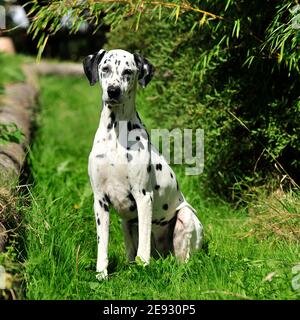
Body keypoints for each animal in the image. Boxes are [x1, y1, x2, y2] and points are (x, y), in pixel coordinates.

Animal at [82, 48, 204, 280]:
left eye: (128, 71)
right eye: (105, 68)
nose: (113, 91)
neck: (115, 133)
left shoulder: (143, 197)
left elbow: (143, 249)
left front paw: (142, 268)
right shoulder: (100, 201)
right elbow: (102, 244)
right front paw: (101, 274)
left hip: (185, 218)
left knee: (183, 259)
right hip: (126, 224)